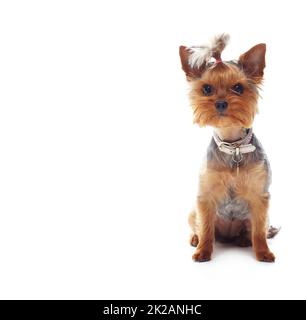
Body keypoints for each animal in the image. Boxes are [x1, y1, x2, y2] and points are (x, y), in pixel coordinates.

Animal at [178, 33, 278, 262]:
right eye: (207, 89)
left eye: (238, 88)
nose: (221, 103)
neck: (234, 147)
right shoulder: (205, 197)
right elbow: (206, 229)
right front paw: (203, 251)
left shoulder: (260, 197)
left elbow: (259, 232)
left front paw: (263, 252)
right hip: (193, 212)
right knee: (200, 227)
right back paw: (195, 239)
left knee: (253, 230)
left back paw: (243, 240)